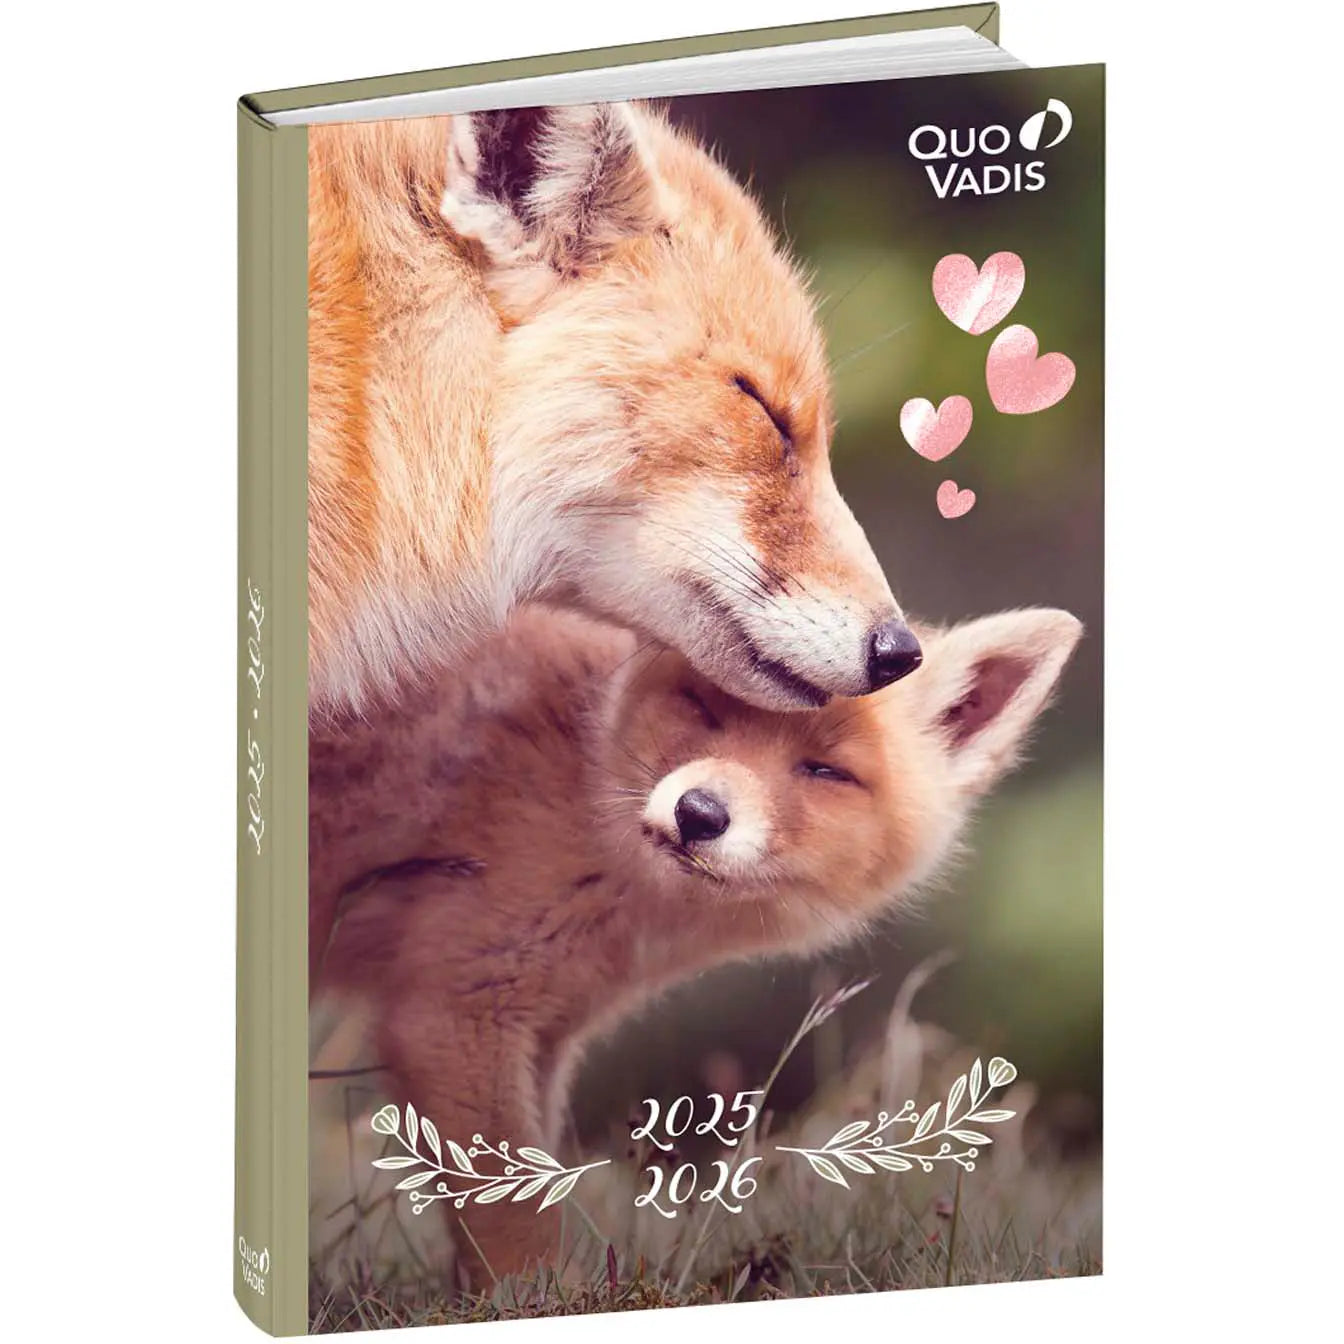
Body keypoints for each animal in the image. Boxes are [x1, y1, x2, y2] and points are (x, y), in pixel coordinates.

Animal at [310, 601, 1081, 1282]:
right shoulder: (453, 1013)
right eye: (706, 710)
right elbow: (512, 1212)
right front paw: (530, 1300)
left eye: (825, 771)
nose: (699, 813)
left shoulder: (544, 1032)